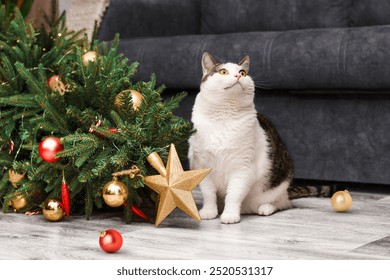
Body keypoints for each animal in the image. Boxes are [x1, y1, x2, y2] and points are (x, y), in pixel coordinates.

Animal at [187, 51, 336, 224]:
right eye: (223, 72)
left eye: (243, 72)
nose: (238, 75)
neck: (224, 118)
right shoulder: (201, 165)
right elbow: (208, 193)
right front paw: (209, 211)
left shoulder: (243, 167)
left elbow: (234, 195)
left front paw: (230, 215)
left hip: (278, 184)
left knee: (282, 203)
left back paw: (266, 208)